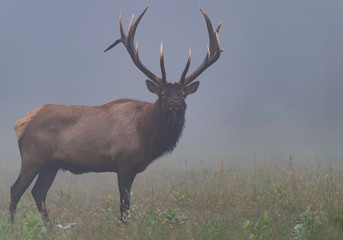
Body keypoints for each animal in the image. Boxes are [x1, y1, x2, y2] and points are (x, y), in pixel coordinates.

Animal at [8, 5, 223, 222]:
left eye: (183, 94)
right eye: (162, 94)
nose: (174, 103)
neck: (146, 135)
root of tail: (20, 123)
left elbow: (125, 205)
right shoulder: (124, 162)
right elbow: (124, 204)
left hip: (51, 164)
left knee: (38, 192)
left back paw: (49, 226)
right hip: (33, 157)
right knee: (16, 189)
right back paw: (12, 225)